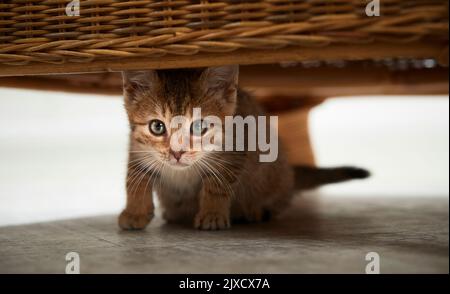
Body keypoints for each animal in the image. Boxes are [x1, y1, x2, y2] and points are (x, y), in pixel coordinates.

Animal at [119, 65, 370, 231]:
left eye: (199, 126)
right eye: (157, 127)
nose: (177, 153)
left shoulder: (234, 152)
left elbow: (216, 186)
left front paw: (212, 214)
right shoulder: (137, 150)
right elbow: (135, 180)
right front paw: (135, 213)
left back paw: (256, 211)